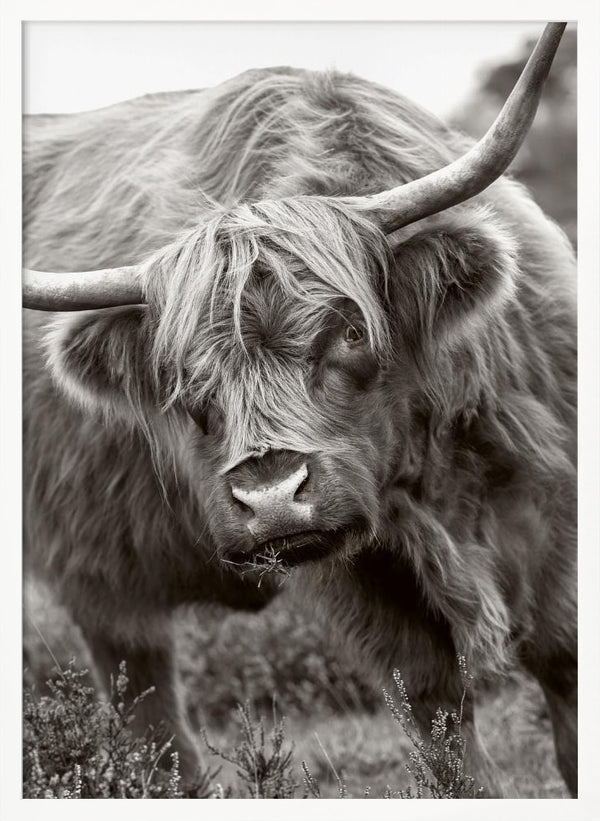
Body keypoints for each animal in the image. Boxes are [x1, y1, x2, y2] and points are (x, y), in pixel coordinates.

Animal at [23, 23, 576, 796]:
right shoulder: (370, 586)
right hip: (96, 574)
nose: (271, 497)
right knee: (149, 712)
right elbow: (441, 723)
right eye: (182, 376)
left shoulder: (555, 511)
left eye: (349, 332)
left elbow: (564, 669)